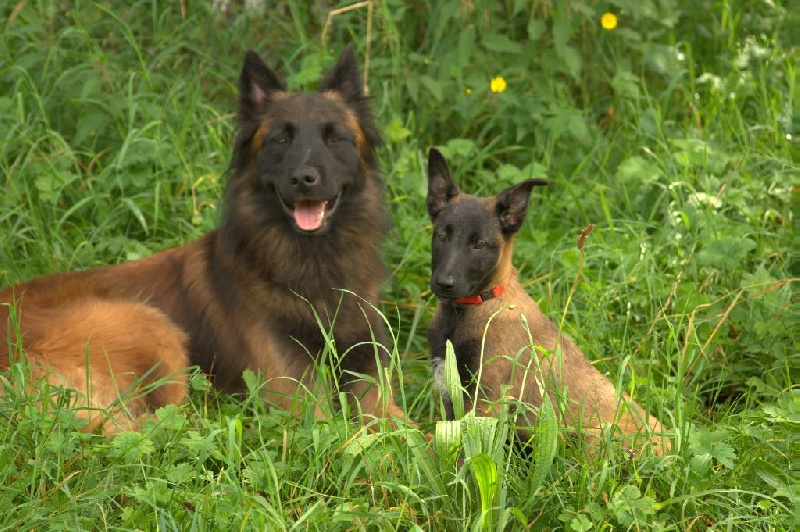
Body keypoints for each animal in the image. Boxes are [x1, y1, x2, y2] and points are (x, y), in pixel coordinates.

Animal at [0, 46, 406, 432]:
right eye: (280, 139)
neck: (315, 262)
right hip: (154, 327)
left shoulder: (376, 389)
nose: (304, 179)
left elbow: (406, 432)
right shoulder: (299, 399)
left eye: (336, 138)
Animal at [428, 148, 672, 456]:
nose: (443, 283)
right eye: (441, 236)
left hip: (593, 439)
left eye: (479, 245)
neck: (475, 306)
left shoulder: (484, 402)